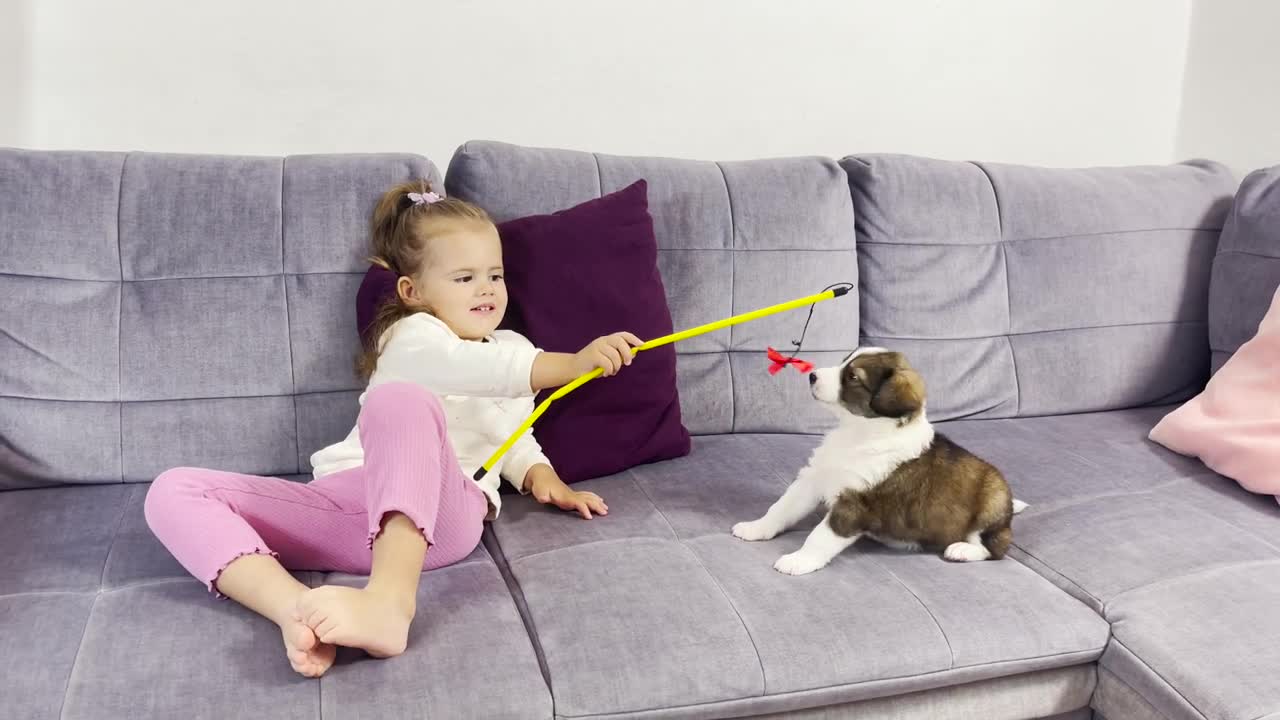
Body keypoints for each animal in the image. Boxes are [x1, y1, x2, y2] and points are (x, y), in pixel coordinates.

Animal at [732, 345, 1018, 573]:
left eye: (852, 376)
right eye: (844, 361)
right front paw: (755, 528)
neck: (858, 432)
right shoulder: (813, 478)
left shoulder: (856, 502)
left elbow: (820, 536)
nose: (812, 375)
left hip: (992, 501)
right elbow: (781, 508)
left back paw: (962, 550)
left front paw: (799, 561)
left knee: (995, 548)